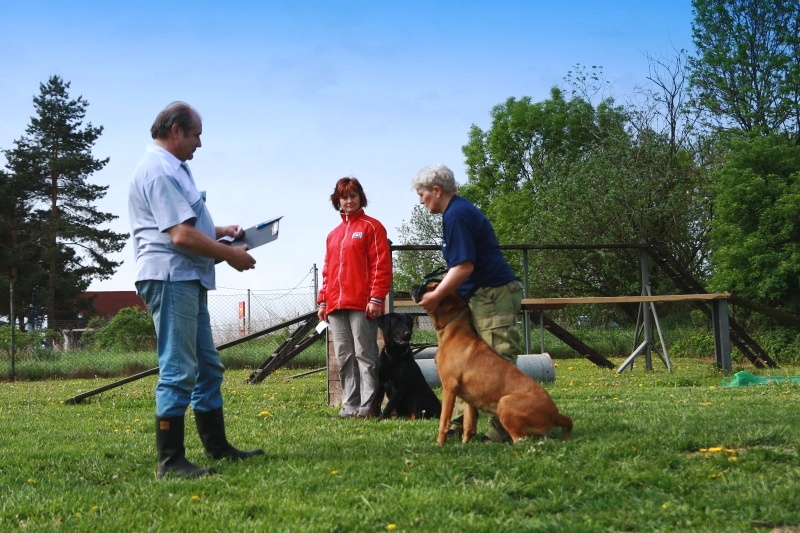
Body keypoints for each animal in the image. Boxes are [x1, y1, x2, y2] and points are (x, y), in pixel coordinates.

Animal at [412, 280, 576, 442]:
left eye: (433, 287)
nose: (413, 287)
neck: (454, 331)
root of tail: (555, 414)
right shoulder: (468, 398)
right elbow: (468, 425)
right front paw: (464, 444)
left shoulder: (449, 386)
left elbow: (443, 421)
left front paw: (440, 444)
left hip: (504, 403)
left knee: (520, 440)